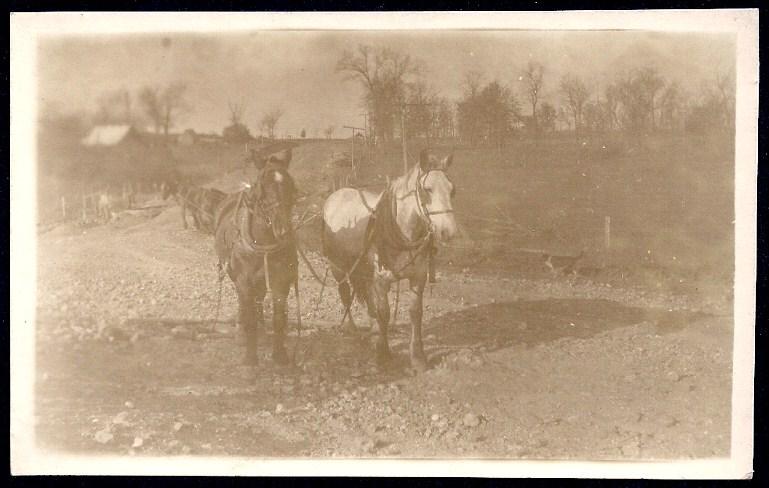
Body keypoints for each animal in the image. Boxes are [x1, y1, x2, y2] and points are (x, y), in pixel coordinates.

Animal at [216, 150, 300, 366]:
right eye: (262, 186)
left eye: (290, 184)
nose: (283, 230)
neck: (264, 244)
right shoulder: (244, 281)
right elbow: (249, 318)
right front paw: (250, 357)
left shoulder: (281, 281)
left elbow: (279, 319)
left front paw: (280, 355)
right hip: (235, 275)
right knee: (244, 304)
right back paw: (241, 332)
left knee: (259, 299)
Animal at [322, 149, 456, 370]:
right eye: (427, 189)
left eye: (452, 190)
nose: (448, 232)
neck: (403, 233)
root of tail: (336, 194)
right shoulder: (382, 280)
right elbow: (384, 312)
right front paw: (383, 354)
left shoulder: (418, 277)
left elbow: (415, 313)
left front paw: (418, 357)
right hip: (338, 266)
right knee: (345, 293)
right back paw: (351, 328)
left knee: (367, 294)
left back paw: (373, 327)